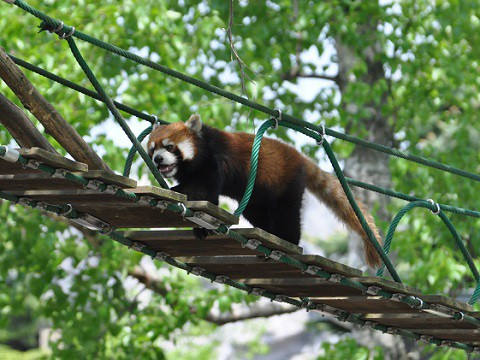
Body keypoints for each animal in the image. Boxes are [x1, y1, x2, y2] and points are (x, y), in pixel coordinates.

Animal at [146, 114, 382, 268]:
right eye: (152, 149)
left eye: (169, 147)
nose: (158, 159)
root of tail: (301, 158)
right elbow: (208, 198)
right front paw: (203, 227)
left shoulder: (215, 158)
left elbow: (203, 188)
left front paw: (173, 189)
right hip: (258, 197)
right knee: (258, 213)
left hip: (287, 182)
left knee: (286, 214)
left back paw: (287, 242)